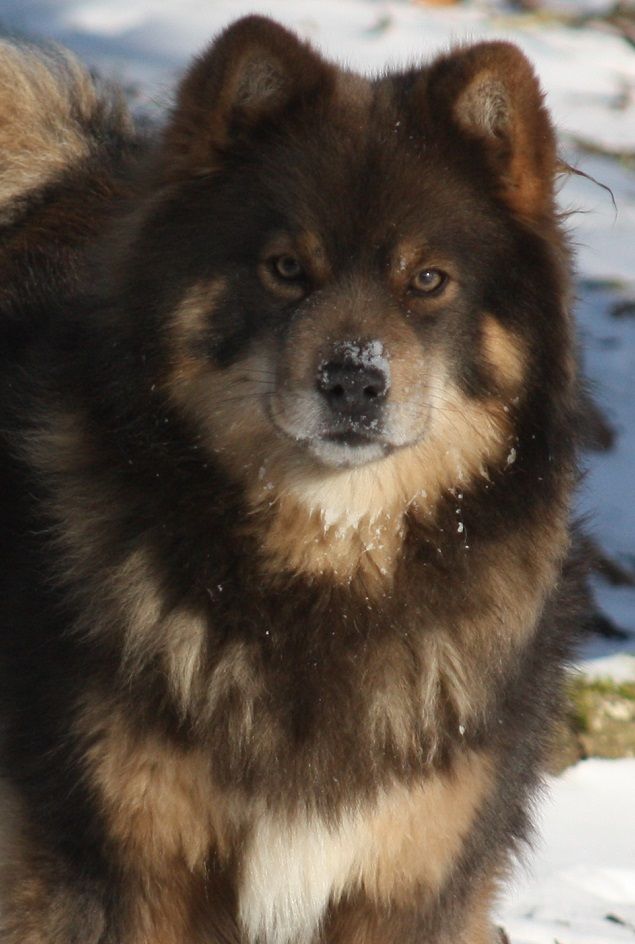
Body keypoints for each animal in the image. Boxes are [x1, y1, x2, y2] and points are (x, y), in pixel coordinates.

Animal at [0, 16, 584, 944]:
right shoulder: (116, 872)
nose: (353, 380)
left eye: (426, 281)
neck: (323, 571)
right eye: (285, 268)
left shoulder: (405, 888)